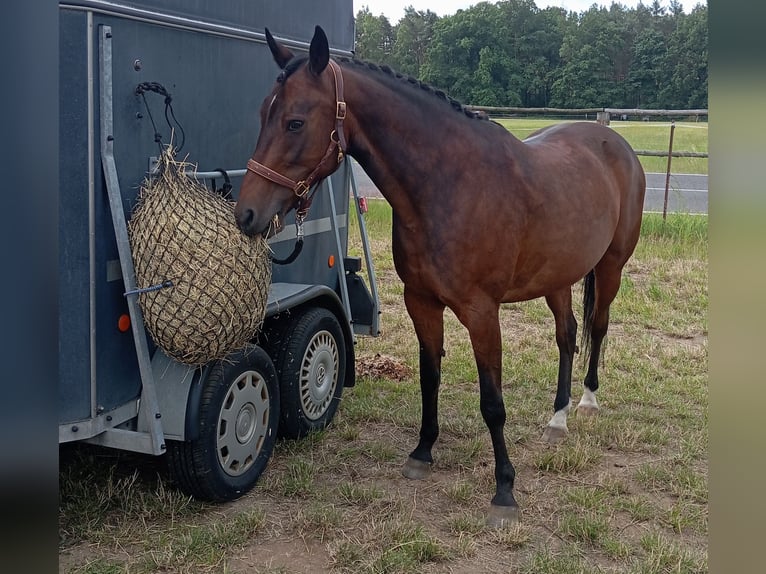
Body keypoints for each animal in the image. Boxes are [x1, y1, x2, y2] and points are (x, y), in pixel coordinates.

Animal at [235, 26, 646, 527]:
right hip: (558, 277)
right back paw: (558, 418)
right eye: (263, 114)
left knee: (597, 328)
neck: (448, 185)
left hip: (610, 267)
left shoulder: (482, 312)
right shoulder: (421, 301)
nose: (247, 214)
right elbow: (429, 378)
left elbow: (492, 403)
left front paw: (504, 491)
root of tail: (614, 142)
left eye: (295, 122)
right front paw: (423, 452)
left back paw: (586, 400)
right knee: (567, 335)